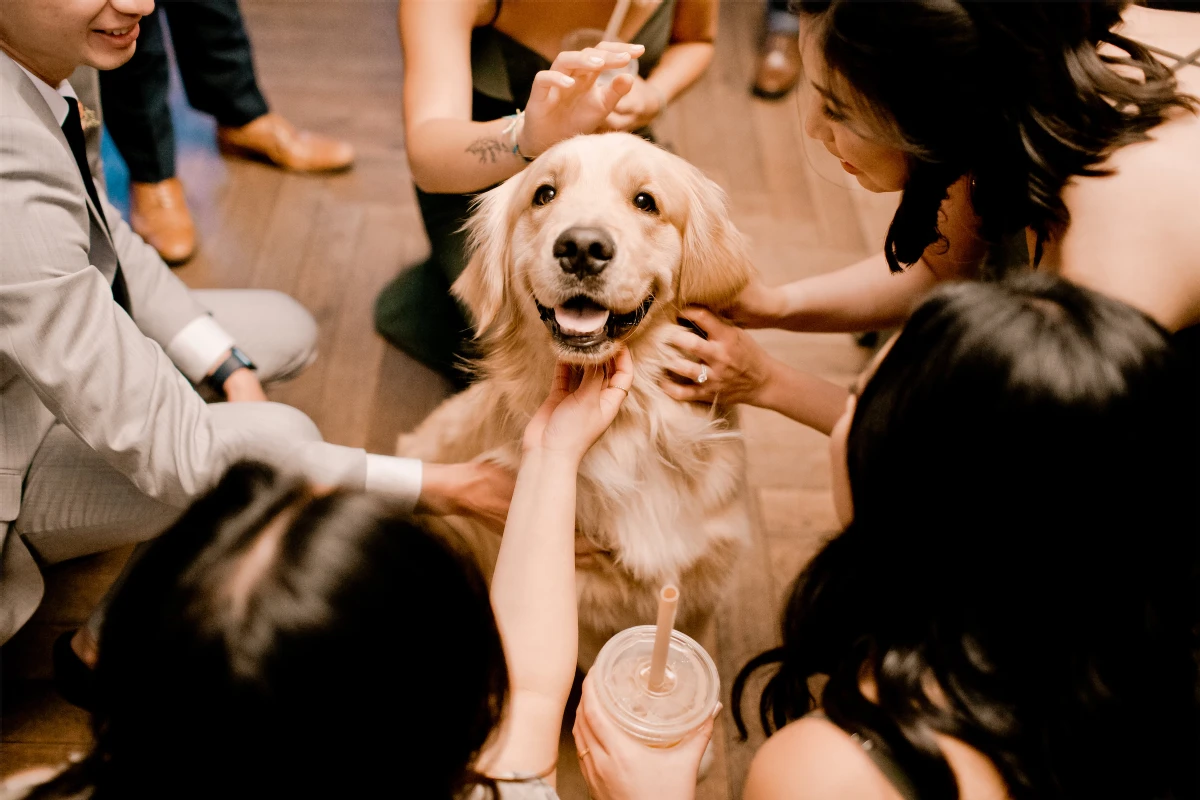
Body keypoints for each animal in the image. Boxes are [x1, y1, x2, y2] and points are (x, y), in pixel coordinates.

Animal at [398, 133, 753, 671]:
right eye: (544, 194)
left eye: (645, 201)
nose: (581, 247)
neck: (629, 427)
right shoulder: (583, 622)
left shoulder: (698, 592)